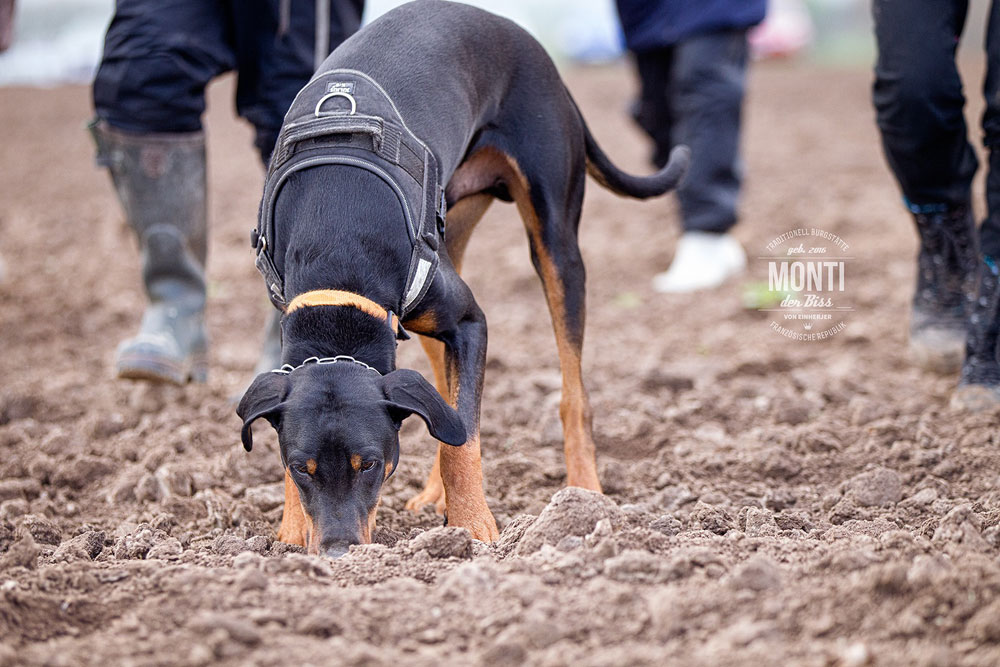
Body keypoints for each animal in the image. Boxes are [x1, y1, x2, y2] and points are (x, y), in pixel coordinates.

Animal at [236, 0, 688, 560]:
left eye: (370, 465)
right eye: (303, 467)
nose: (341, 552)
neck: (337, 240)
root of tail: (518, 35)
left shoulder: (471, 324)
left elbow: (462, 436)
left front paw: (474, 527)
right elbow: (437, 420)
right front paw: (292, 530)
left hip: (556, 241)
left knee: (570, 392)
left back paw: (585, 494)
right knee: (436, 399)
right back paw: (434, 495)